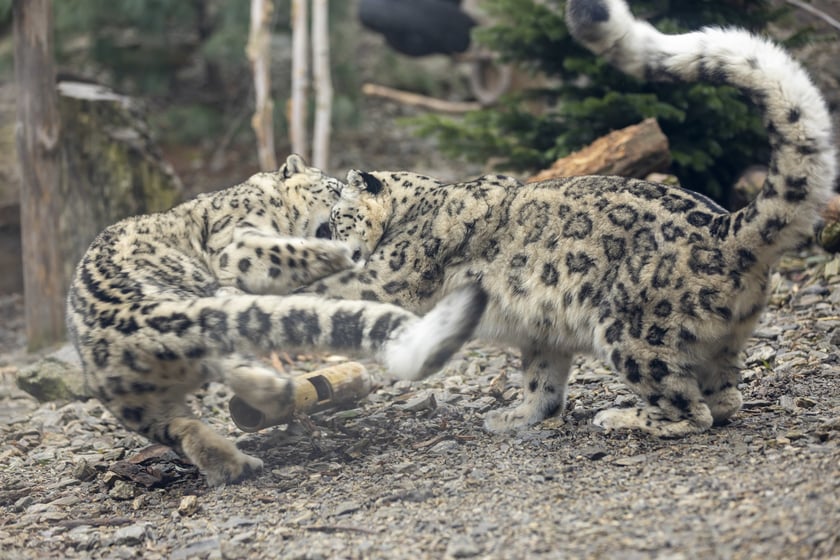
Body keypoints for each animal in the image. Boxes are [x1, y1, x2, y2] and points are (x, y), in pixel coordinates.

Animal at [69, 154, 488, 486]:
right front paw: (336, 254)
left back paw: (239, 460)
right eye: (332, 187)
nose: (346, 196)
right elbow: (283, 250)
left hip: (138, 403)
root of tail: (131, 319)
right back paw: (275, 395)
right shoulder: (236, 244)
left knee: (185, 424)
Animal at [298, 0, 836, 438]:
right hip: (720, 342)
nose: (328, 235)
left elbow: (342, 286)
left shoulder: (390, 280)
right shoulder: (541, 332)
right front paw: (519, 415)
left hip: (631, 331)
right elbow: (543, 379)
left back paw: (621, 417)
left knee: (690, 409)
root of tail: (729, 230)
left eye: (336, 216)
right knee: (725, 397)